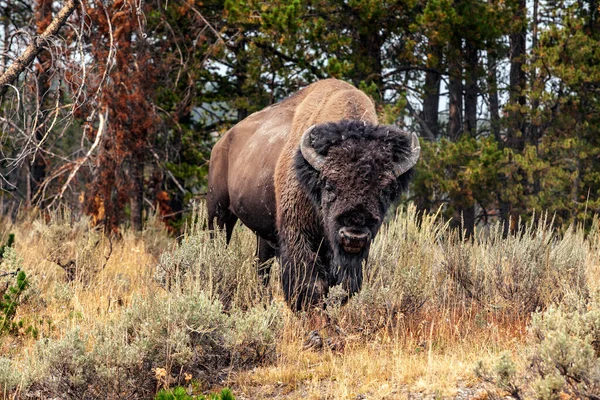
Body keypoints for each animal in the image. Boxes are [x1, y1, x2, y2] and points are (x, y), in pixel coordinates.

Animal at [206, 78, 418, 310]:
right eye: (329, 185)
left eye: (385, 190)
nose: (353, 236)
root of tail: (222, 143)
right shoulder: (299, 232)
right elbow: (310, 283)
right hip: (218, 211)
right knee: (219, 243)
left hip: (264, 230)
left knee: (262, 265)